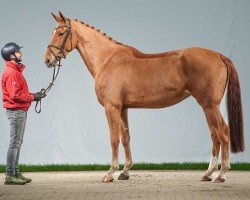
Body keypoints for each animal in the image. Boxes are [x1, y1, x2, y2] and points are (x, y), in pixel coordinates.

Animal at [44, 11, 243, 183]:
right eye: (53, 32)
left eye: (61, 33)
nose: (47, 60)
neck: (107, 59)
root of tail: (219, 55)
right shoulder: (123, 108)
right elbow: (125, 137)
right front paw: (125, 172)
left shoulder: (111, 108)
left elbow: (114, 139)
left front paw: (110, 173)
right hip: (208, 106)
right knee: (215, 136)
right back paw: (208, 173)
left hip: (210, 105)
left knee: (223, 132)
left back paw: (221, 174)